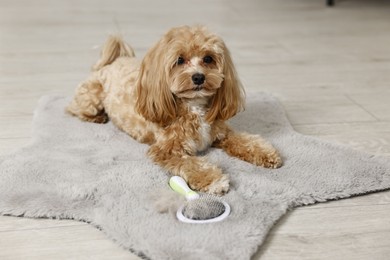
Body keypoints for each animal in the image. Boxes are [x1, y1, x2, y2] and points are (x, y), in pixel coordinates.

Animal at [66, 25, 280, 194]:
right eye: (180, 60)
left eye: (208, 59)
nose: (198, 77)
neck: (193, 105)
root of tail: (111, 62)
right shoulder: (167, 150)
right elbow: (191, 164)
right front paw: (214, 180)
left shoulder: (222, 133)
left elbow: (244, 140)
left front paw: (266, 153)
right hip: (91, 97)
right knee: (73, 109)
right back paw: (97, 118)